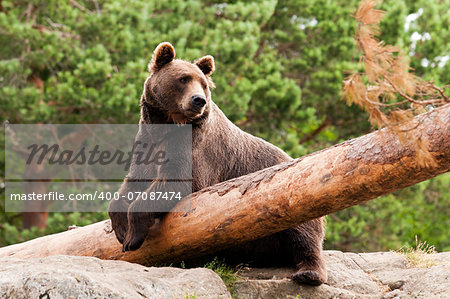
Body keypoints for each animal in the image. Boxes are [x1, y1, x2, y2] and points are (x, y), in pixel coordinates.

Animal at [109, 42, 326, 286]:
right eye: (183, 79)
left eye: (203, 84)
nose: (198, 100)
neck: (168, 125)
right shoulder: (147, 141)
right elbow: (133, 181)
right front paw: (121, 229)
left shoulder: (197, 150)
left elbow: (177, 182)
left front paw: (132, 238)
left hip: (293, 189)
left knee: (302, 231)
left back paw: (308, 272)